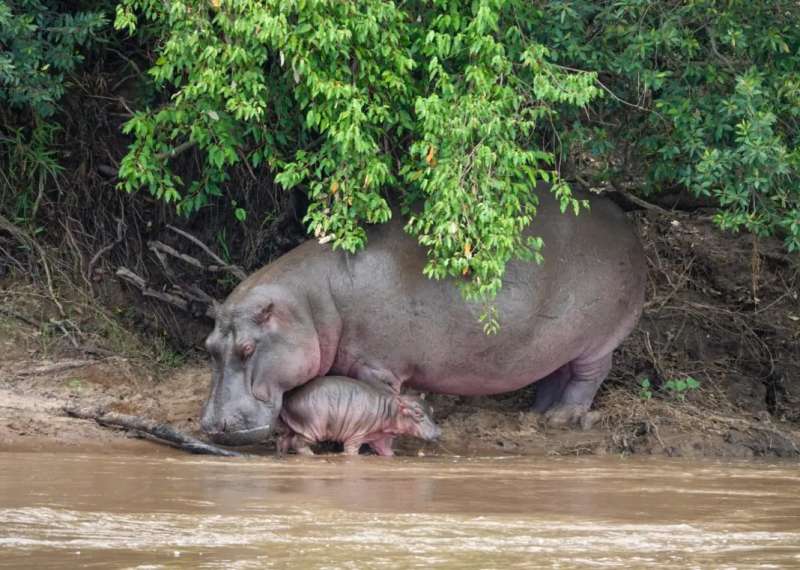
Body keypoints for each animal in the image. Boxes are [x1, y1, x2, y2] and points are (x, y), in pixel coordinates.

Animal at [201, 186, 646, 445]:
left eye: (247, 348)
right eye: (209, 346)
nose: (211, 426)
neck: (309, 304)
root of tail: (625, 222)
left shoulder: (377, 366)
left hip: (597, 340)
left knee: (588, 376)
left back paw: (561, 418)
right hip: (555, 343)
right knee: (555, 371)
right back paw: (536, 414)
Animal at [276, 375, 441, 456]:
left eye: (432, 409)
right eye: (418, 413)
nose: (439, 432)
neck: (390, 409)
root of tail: (288, 397)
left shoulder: (380, 437)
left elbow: (387, 452)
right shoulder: (355, 437)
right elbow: (351, 451)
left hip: (291, 425)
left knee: (283, 440)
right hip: (312, 429)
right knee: (297, 443)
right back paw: (311, 455)